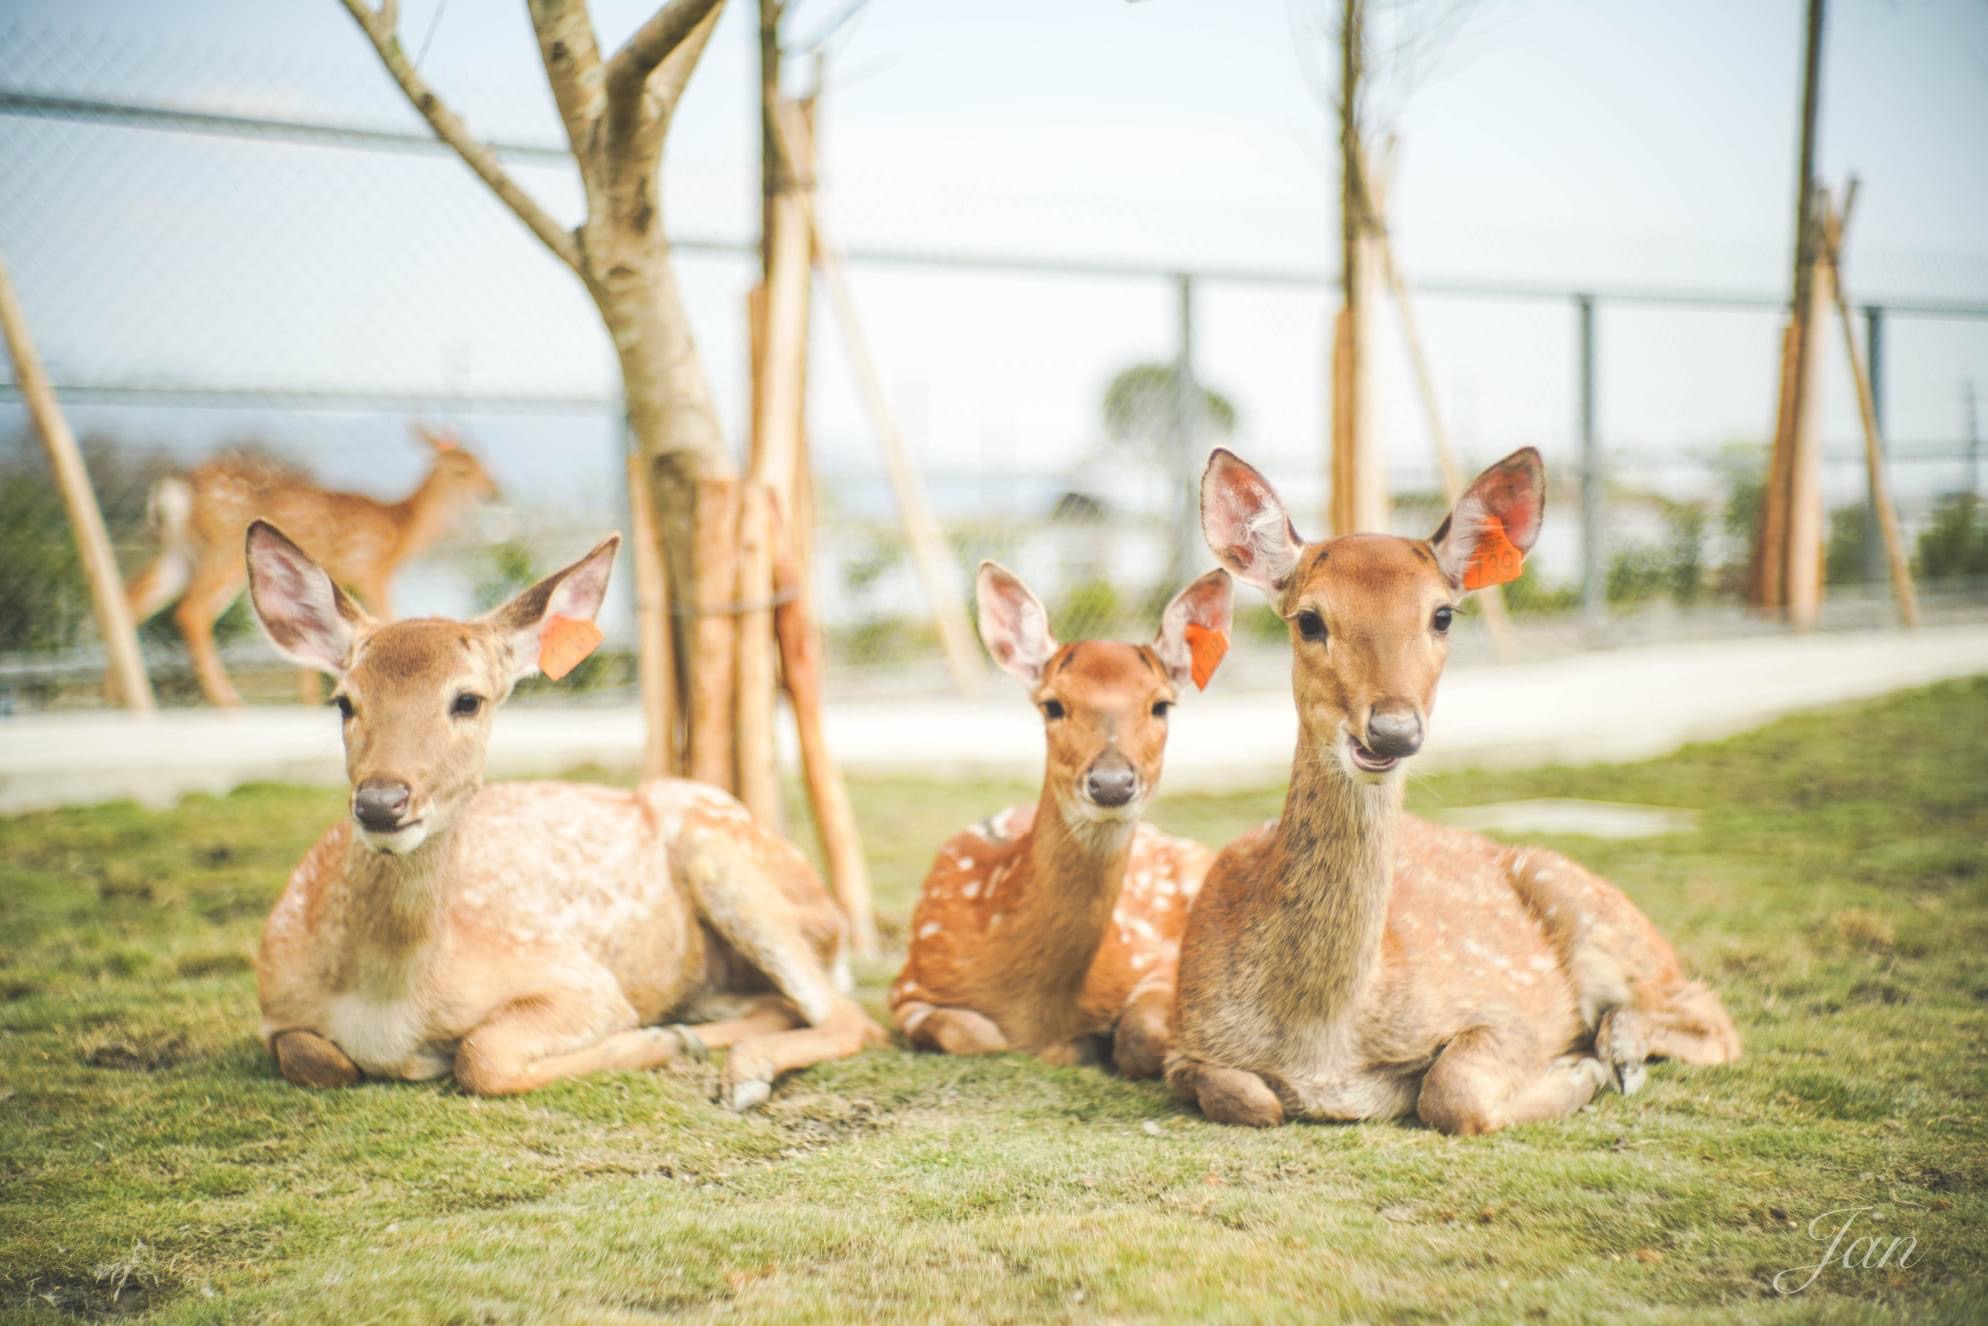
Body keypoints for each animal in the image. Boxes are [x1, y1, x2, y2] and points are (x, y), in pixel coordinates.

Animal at [125, 431, 500, 711]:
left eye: (483, 461)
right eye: (462, 469)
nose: (493, 492)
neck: (399, 530)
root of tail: (175, 489)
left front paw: (313, 700)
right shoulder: (370, 570)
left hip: (180, 552)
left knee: (136, 598)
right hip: (225, 550)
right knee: (192, 611)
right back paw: (229, 702)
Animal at [240, 516, 878, 1113]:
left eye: (468, 700)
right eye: (344, 702)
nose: (381, 802)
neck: (387, 1005)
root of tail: (832, 918)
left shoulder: (577, 978)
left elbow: (482, 1054)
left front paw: (651, 1042)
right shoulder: (274, 1008)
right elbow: (314, 1056)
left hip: (727, 860)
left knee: (852, 1017)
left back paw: (734, 1068)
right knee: (784, 1003)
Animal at [894, 564, 1232, 1081]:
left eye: (1161, 705)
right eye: (1053, 704)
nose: (1111, 783)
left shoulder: (1158, 956)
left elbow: (1141, 1032)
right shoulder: (909, 984)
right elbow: (972, 1033)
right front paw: (1071, 1048)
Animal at [1160, 451, 1741, 1137]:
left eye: (1442, 614)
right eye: (1309, 619)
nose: (1392, 730)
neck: (1323, 1040)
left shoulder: (1507, 1007)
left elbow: (1451, 1090)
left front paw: (1577, 1070)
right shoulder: (1183, 1040)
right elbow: (1251, 1098)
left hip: (1595, 912)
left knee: (1713, 1017)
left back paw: (1617, 1050)